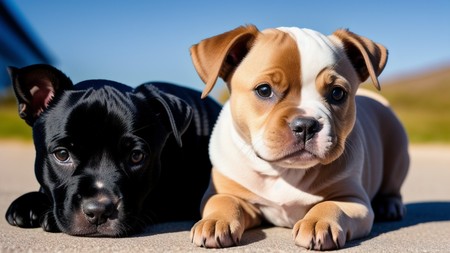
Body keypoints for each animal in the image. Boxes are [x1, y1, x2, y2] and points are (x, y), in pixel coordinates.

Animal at [188, 24, 410, 250]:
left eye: (337, 93)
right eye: (264, 90)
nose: (306, 125)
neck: (285, 171)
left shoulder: (353, 199)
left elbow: (331, 205)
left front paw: (318, 222)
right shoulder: (228, 191)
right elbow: (224, 201)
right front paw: (215, 221)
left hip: (397, 154)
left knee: (393, 184)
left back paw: (389, 204)